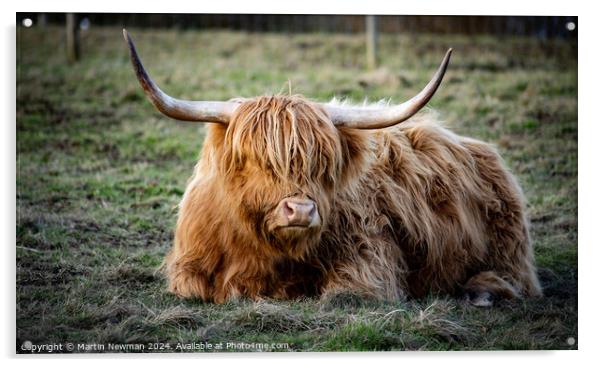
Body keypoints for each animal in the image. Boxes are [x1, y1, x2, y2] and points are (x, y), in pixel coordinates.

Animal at [123, 30, 540, 308]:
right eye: (257, 160)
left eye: (321, 164)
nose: (301, 210)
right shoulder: (188, 269)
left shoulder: (370, 263)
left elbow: (342, 293)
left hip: (508, 248)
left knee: (515, 278)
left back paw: (482, 291)